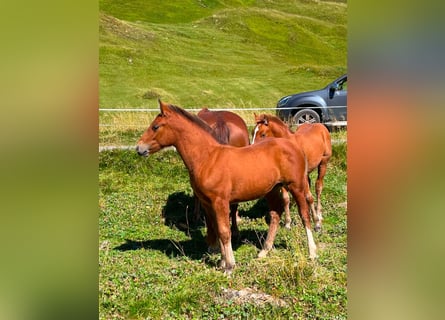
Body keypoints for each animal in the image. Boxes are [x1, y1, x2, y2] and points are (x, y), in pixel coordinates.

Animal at [137, 101, 318, 274]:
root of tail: (293, 145)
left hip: (296, 186)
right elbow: (217, 230)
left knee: (304, 215)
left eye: (155, 126)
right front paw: (222, 262)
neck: (208, 158)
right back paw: (264, 251)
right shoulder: (208, 203)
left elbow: (224, 232)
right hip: (272, 190)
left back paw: (312, 251)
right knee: (275, 215)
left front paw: (229, 266)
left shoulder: (220, 202)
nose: (139, 148)